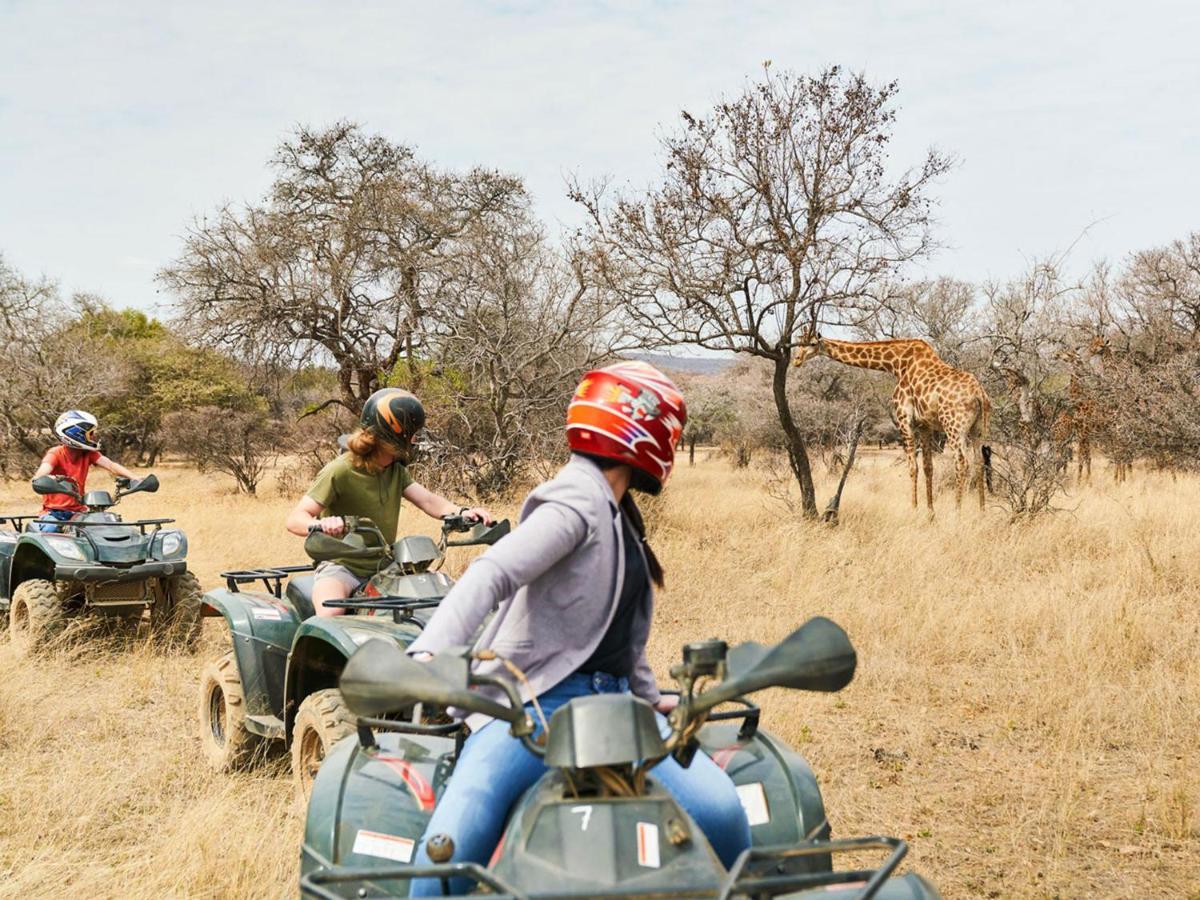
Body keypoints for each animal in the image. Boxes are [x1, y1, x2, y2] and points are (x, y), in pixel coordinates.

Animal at [796, 338, 993, 511]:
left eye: (811, 343)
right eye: (799, 342)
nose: (796, 359)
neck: (897, 363)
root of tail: (979, 394)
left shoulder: (904, 418)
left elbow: (912, 467)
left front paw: (914, 510)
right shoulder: (925, 425)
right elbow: (928, 467)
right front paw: (930, 513)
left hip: (953, 427)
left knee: (961, 462)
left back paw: (957, 512)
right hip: (977, 430)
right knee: (979, 462)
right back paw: (982, 511)